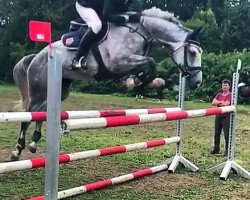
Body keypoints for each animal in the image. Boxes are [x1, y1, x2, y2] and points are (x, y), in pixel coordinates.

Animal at [10, 7, 204, 161]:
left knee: (42, 112)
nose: (197, 82)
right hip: (39, 91)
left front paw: (138, 82)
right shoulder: (118, 62)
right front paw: (131, 83)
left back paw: (34, 142)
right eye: (193, 52)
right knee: (29, 115)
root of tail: (36, 57)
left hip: (59, 89)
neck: (141, 33)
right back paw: (18, 150)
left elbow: (150, 70)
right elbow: (150, 62)